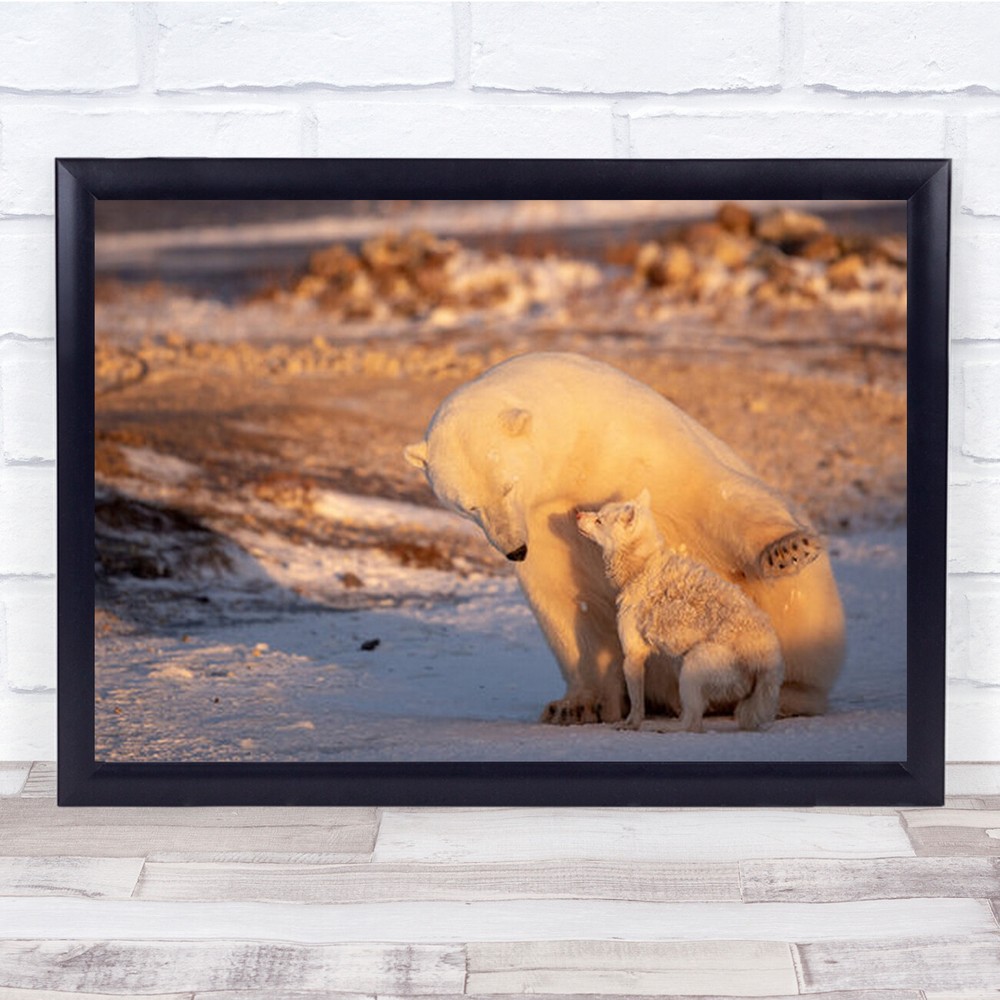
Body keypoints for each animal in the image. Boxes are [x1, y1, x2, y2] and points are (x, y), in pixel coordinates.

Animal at [576, 489, 784, 732]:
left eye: (599, 520)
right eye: (596, 514)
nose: (577, 514)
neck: (641, 566)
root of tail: (768, 660)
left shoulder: (633, 654)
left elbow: (636, 706)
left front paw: (630, 726)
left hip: (691, 668)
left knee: (691, 723)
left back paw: (666, 729)